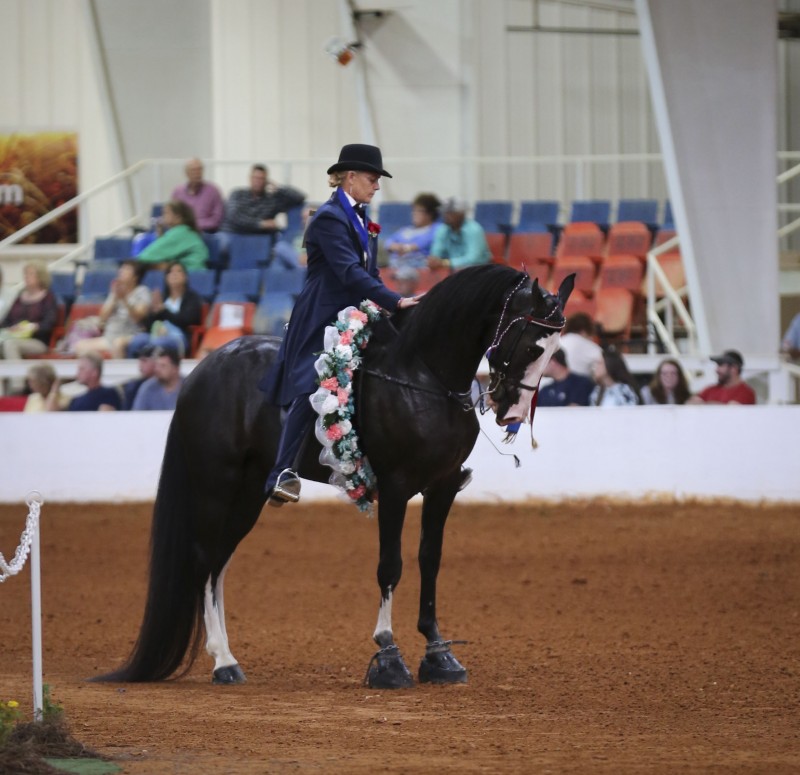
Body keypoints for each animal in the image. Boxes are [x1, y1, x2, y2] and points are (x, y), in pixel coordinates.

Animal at [93, 265, 574, 689]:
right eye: (532, 346)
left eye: (553, 351)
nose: (511, 412)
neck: (423, 377)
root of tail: (204, 368)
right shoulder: (397, 487)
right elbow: (391, 565)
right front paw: (389, 656)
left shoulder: (442, 487)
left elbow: (430, 560)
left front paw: (439, 655)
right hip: (217, 484)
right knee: (204, 559)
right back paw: (223, 663)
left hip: (247, 494)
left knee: (219, 564)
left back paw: (227, 658)